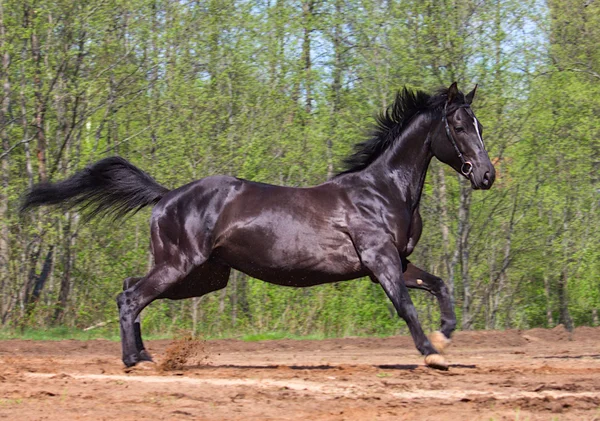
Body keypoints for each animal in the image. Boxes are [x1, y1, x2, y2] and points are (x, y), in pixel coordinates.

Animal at [22, 83, 492, 370]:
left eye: (479, 125)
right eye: (458, 125)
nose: (486, 176)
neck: (383, 191)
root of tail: (166, 196)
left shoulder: (398, 262)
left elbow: (439, 285)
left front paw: (445, 337)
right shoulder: (380, 261)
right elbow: (406, 307)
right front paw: (432, 354)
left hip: (202, 275)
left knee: (130, 290)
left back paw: (146, 355)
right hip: (181, 266)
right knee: (130, 297)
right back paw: (133, 361)